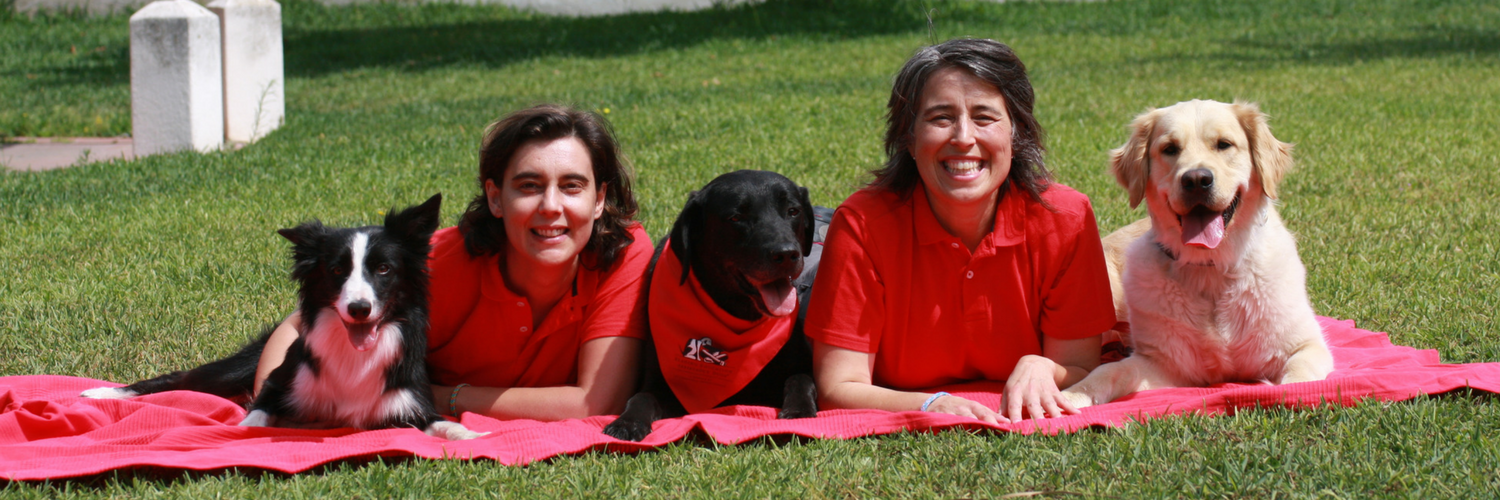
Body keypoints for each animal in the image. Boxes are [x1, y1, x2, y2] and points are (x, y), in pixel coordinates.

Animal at [603, 169, 828, 438]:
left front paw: (798, 410)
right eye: (736, 217)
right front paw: (628, 422)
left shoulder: (800, 364)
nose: (786, 254)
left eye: (793, 211)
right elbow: (641, 397)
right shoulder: (658, 383)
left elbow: (801, 380)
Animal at [1056, 99, 1338, 408]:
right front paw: (1070, 396)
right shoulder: (1164, 363)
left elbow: (1298, 375)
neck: (1211, 268)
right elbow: (1108, 371)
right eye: (1170, 149)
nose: (1196, 179)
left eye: (1224, 144)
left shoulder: (1306, 345)